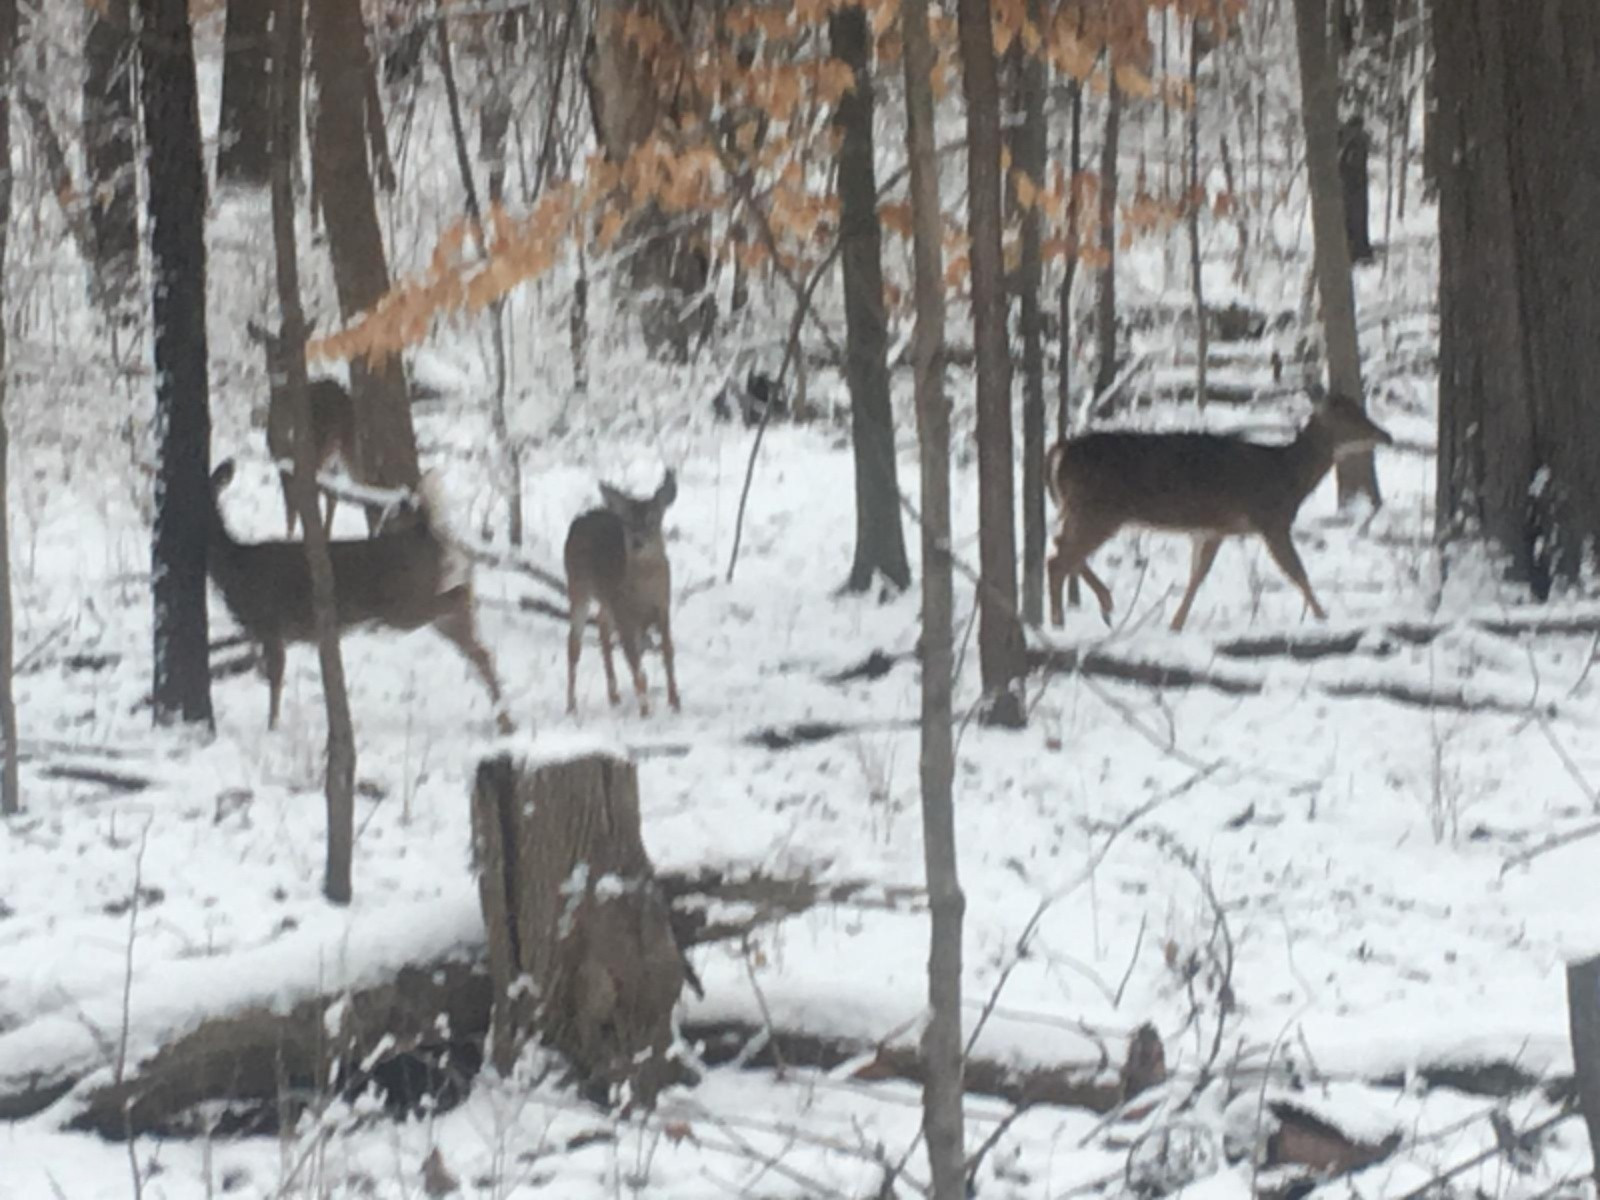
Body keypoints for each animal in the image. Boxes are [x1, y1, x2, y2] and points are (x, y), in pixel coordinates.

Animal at [206, 458, 513, 734]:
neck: (235, 567)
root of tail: (426, 533)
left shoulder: (271, 624)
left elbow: (275, 679)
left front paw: (272, 729)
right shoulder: (266, 633)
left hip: (404, 606)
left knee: (461, 609)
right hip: (431, 611)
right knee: (480, 650)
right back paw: (505, 721)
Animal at [246, 320, 359, 537]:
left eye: (290, 347)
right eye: (268, 346)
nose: (279, 364)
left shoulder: (308, 459)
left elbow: (301, 504)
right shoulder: (281, 461)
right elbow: (290, 509)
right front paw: (289, 537)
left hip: (345, 445)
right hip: (330, 459)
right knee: (332, 496)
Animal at [564, 470, 681, 717]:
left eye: (653, 519)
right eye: (627, 522)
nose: (637, 542)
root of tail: (582, 519)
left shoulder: (663, 607)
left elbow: (668, 652)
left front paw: (675, 702)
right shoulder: (626, 616)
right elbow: (636, 666)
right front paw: (646, 712)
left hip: (607, 599)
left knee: (602, 626)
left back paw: (614, 696)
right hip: (578, 587)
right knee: (574, 643)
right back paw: (571, 706)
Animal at [1046, 390, 1393, 633]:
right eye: (1348, 415)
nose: (1386, 435)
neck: (1288, 479)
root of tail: (1062, 452)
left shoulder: (1215, 529)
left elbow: (1197, 576)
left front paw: (1176, 624)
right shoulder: (1271, 521)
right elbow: (1297, 572)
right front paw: (1323, 618)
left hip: (1085, 510)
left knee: (1061, 549)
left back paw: (1102, 605)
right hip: (1098, 510)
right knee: (1059, 559)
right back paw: (1062, 622)